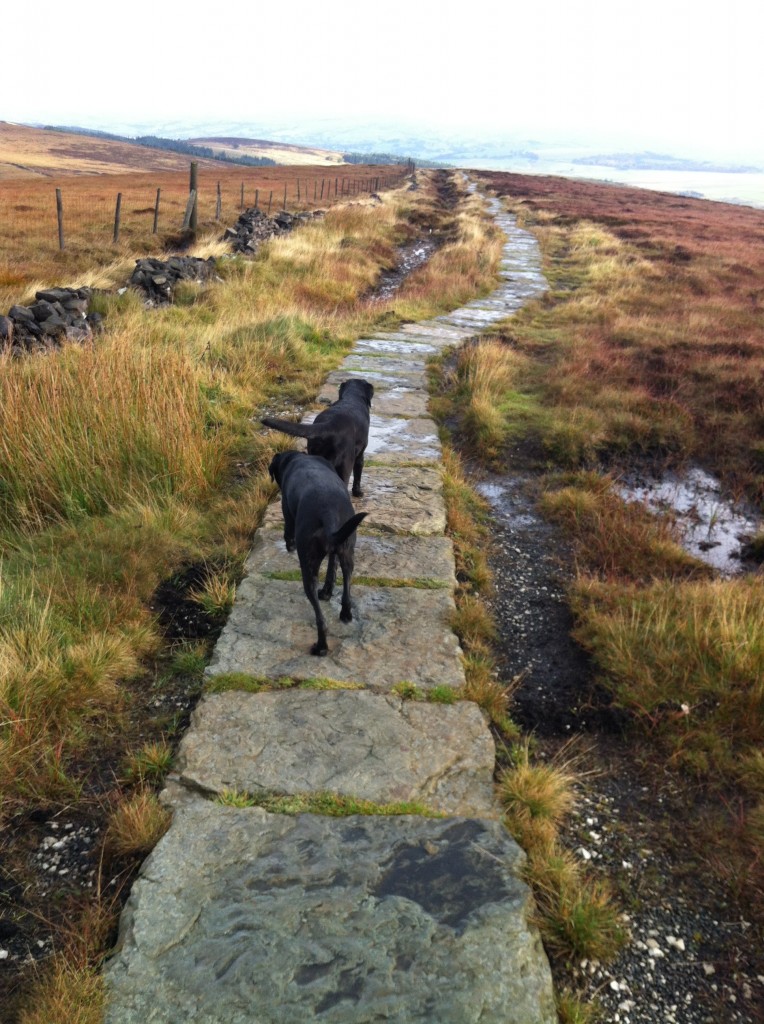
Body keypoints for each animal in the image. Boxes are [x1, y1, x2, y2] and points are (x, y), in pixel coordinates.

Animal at [268, 454, 366, 655]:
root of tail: (328, 515)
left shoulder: (286, 510)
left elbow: (287, 531)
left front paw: (289, 545)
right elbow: (331, 568)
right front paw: (327, 592)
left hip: (308, 567)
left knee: (320, 618)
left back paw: (321, 647)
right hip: (347, 553)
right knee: (346, 586)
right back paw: (345, 613)